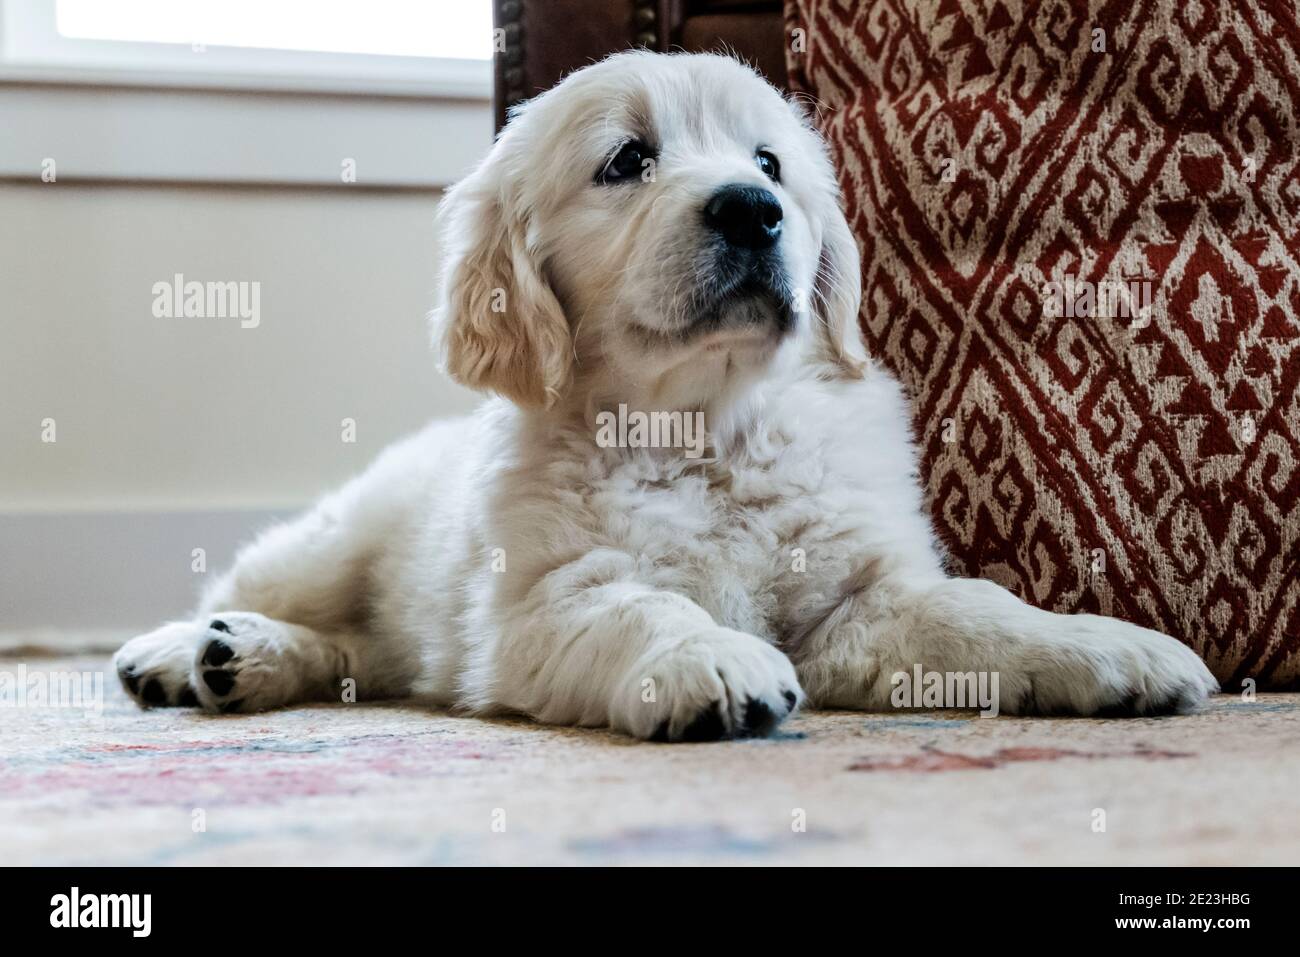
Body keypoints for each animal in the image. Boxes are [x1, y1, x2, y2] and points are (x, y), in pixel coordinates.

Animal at [114, 52, 1216, 738]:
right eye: (626, 161)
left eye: (770, 163)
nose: (753, 209)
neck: (703, 429)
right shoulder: (538, 604)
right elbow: (644, 608)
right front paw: (711, 662)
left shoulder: (862, 600)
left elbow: (977, 610)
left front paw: (1103, 647)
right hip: (337, 539)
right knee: (261, 590)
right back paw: (189, 652)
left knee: (370, 657)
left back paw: (241, 663)